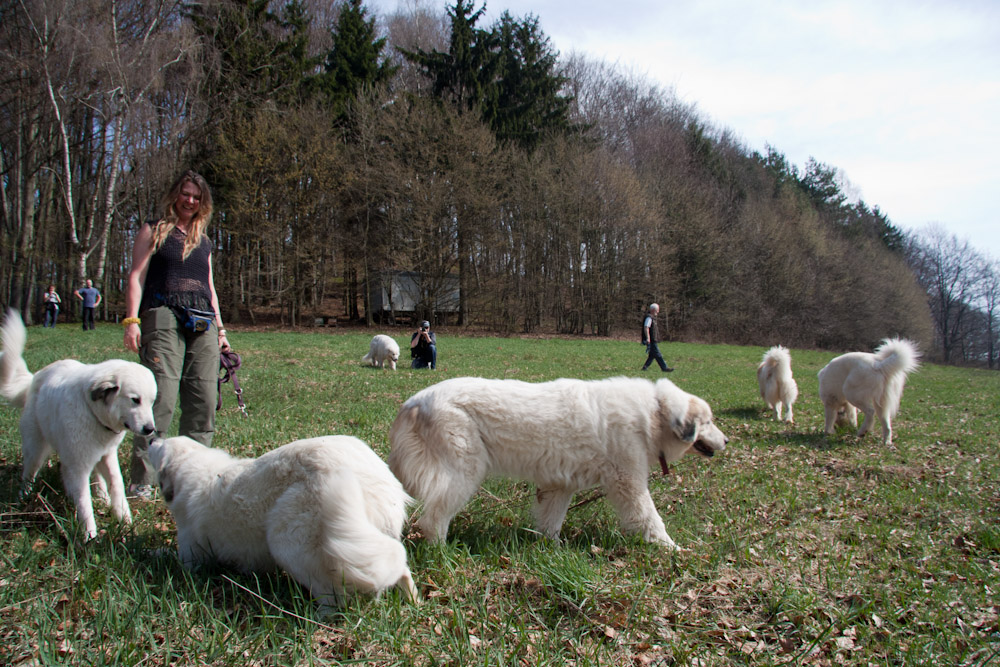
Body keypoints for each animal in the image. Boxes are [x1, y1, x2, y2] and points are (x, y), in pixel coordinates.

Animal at [0, 310, 156, 540]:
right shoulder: (79, 466)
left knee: (95, 479)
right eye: (135, 400)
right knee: (28, 474)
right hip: (35, 449)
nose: (150, 430)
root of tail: (34, 379)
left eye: (151, 401)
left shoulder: (108, 455)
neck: (92, 411)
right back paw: (23, 499)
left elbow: (116, 486)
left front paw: (126, 523)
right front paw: (90, 536)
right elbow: (84, 502)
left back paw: (102, 499)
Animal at [146, 436, 420, 608]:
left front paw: (151, 553)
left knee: (333, 598)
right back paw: (413, 599)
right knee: (398, 569)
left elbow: (170, 557)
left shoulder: (191, 555)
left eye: (160, 448)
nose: (150, 439)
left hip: (287, 540)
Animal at [388, 378, 728, 552]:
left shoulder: (559, 486)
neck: (653, 412)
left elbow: (551, 521)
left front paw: (551, 547)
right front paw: (671, 549)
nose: (726, 441)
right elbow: (650, 519)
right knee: (433, 520)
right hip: (463, 474)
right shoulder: (629, 483)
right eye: (709, 422)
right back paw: (442, 554)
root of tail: (414, 402)